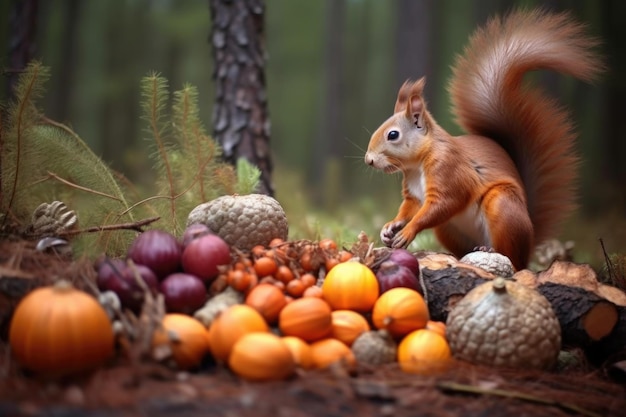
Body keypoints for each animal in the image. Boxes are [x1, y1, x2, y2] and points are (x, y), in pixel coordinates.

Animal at [364, 10, 604, 270]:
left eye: (393, 135)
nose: (368, 160)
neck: (417, 165)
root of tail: (529, 245)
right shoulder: (414, 193)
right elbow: (409, 207)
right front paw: (391, 226)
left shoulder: (450, 171)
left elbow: (443, 204)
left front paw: (408, 231)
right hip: (449, 229)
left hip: (502, 205)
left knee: (510, 256)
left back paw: (492, 251)